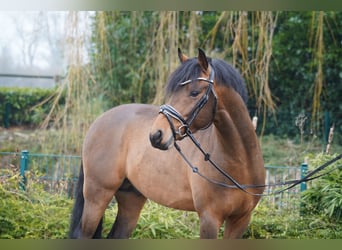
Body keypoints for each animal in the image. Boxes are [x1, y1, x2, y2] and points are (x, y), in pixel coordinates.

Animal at [69, 48, 266, 238]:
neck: (238, 162)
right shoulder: (209, 219)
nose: (156, 135)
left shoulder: (241, 220)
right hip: (97, 195)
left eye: (194, 93)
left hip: (131, 198)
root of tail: (97, 122)